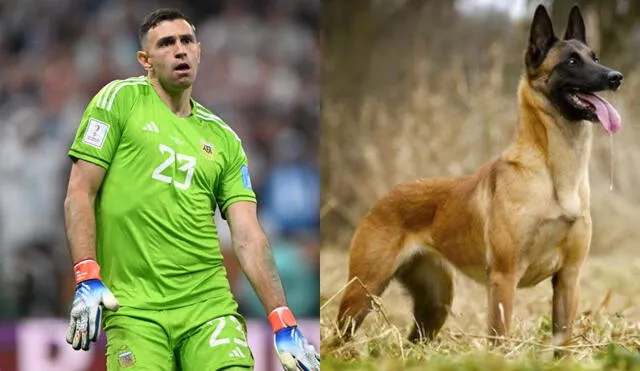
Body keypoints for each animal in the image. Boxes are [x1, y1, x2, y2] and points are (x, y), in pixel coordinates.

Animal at [338, 5, 624, 354]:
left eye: (594, 57)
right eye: (571, 61)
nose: (616, 77)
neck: (555, 175)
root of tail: (384, 198)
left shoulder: (569, 277)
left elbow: (563, 342)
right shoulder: (504, 278)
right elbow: (499, 338)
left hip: (436, 303)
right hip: (362, 293)